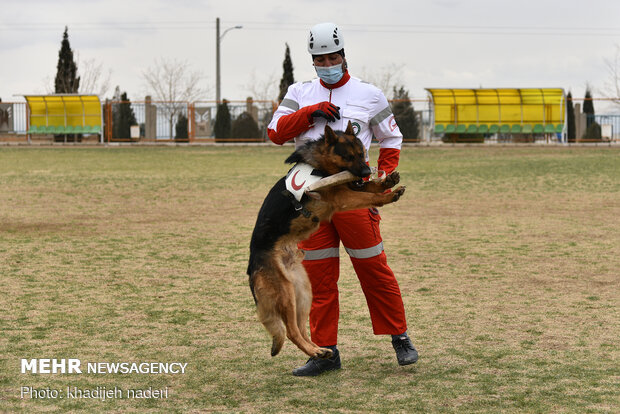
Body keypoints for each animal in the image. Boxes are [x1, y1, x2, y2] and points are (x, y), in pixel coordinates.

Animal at [248, 120, 406, 360]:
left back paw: (319, 350)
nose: (366, 171)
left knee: (301, 328)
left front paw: (385, 181)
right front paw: (388, 195)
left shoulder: (349, 186)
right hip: (286, 293)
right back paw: (315, 351)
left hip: (303, 293)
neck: (320, 164)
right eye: (348, 156)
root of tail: (252, 267)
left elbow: (367, 187)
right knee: (292, 331)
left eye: (362, 153)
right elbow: (369, 196)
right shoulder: (343, 196)